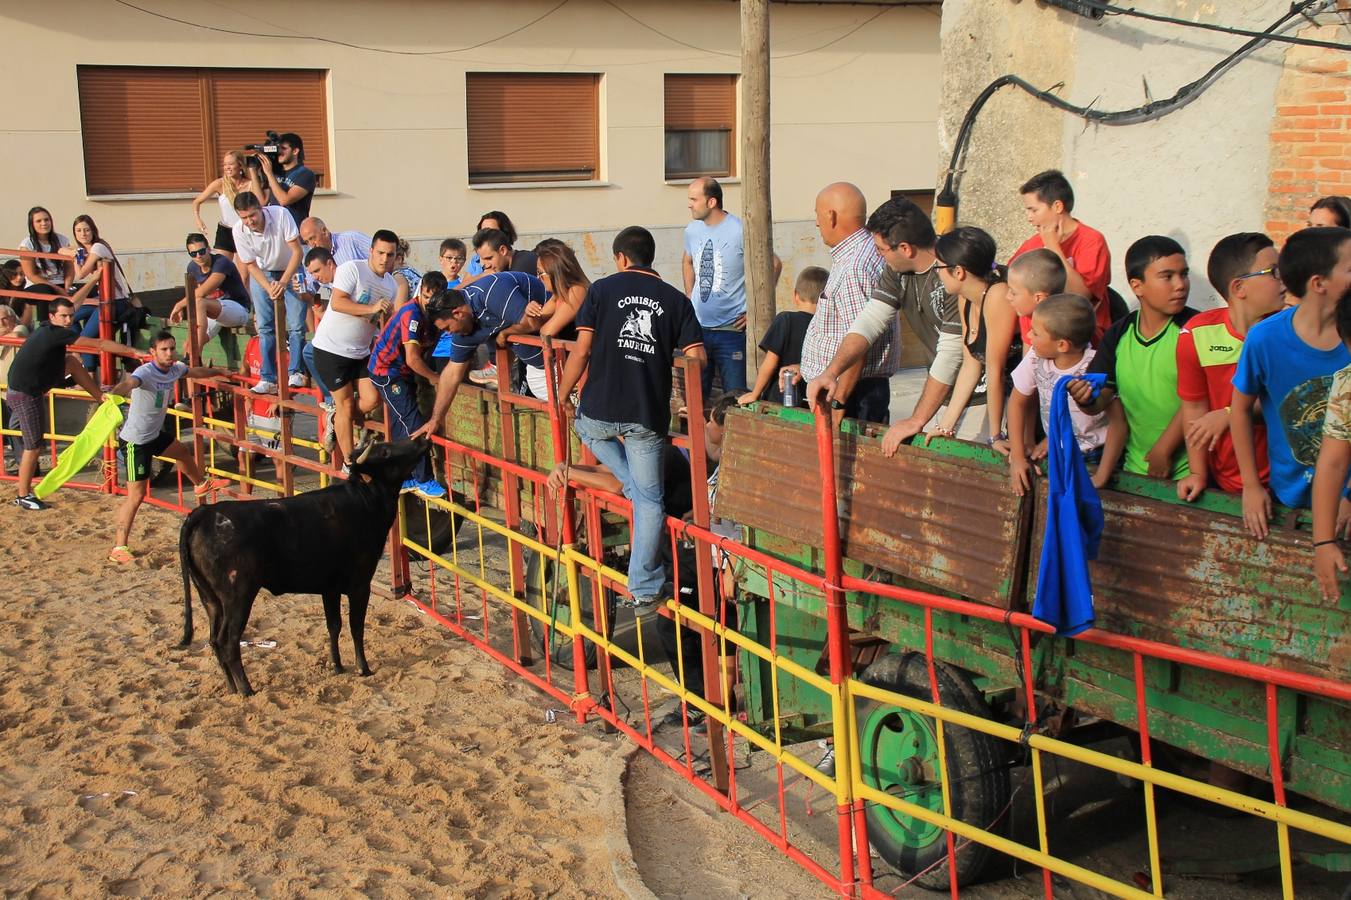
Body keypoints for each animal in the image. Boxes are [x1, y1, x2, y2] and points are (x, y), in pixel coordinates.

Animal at [175, 435, 426, 691]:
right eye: (385, 452)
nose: (420, 441)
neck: (364, 501)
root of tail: (204, 513)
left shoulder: (330, 589)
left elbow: (334, 625)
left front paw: (337, 665)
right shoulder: (360, 585)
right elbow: (356, 626)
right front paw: (363, 668)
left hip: (210, 597)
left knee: (214, 640)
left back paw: (232, 687)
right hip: (238, 596)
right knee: (228, 641)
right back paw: (246, 689)